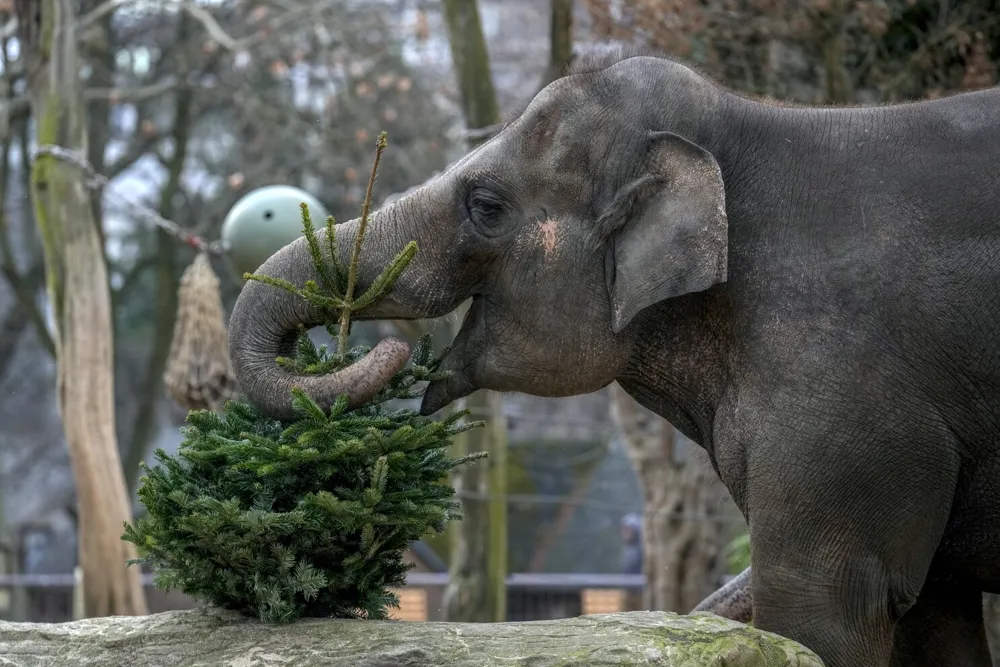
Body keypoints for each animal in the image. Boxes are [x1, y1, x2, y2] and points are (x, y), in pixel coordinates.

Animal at [227, 47, 1000, 667]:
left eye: (486, 204)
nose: (386, 348)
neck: (750, 122)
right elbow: (933, 612)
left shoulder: (845, 395)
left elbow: (823, 608)